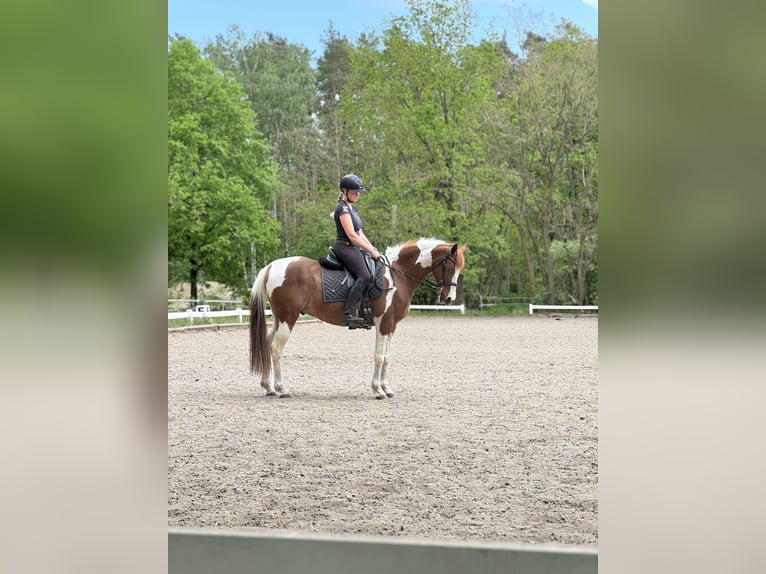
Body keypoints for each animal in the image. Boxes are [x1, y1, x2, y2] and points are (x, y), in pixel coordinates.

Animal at [252, 238, 468, 400]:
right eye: (450, 268)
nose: (448, 298)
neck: (397, 276)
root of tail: (271, 266)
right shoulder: (383, 323)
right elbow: (379, 357)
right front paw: (378, 390)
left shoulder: (391, 325)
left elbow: (387, 357)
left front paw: (386, 388)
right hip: (288, 318)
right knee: (276, 348)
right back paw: (282, 389)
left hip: (279, 319)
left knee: (267, 344)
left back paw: (269, 387)